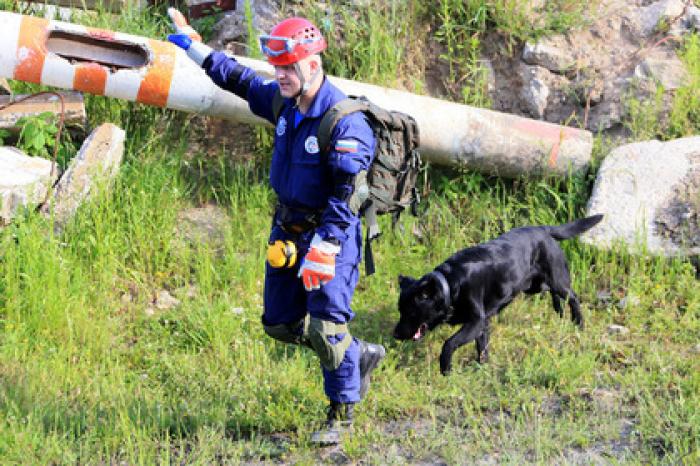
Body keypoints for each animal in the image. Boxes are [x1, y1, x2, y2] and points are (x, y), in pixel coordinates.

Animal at [394, 215, 600, 374]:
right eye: (400, 311)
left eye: (411, 312)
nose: (395, 334)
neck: (450, 284)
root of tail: (543, 228)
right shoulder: (482, 324)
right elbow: (482, 347)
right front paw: (481, 367)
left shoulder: (475, 321)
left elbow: (449, 343)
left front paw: (446, 369)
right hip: (533, 285)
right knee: (552, 292)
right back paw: (559, 309)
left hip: (556, 278)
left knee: (573, 296)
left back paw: (578, 322)